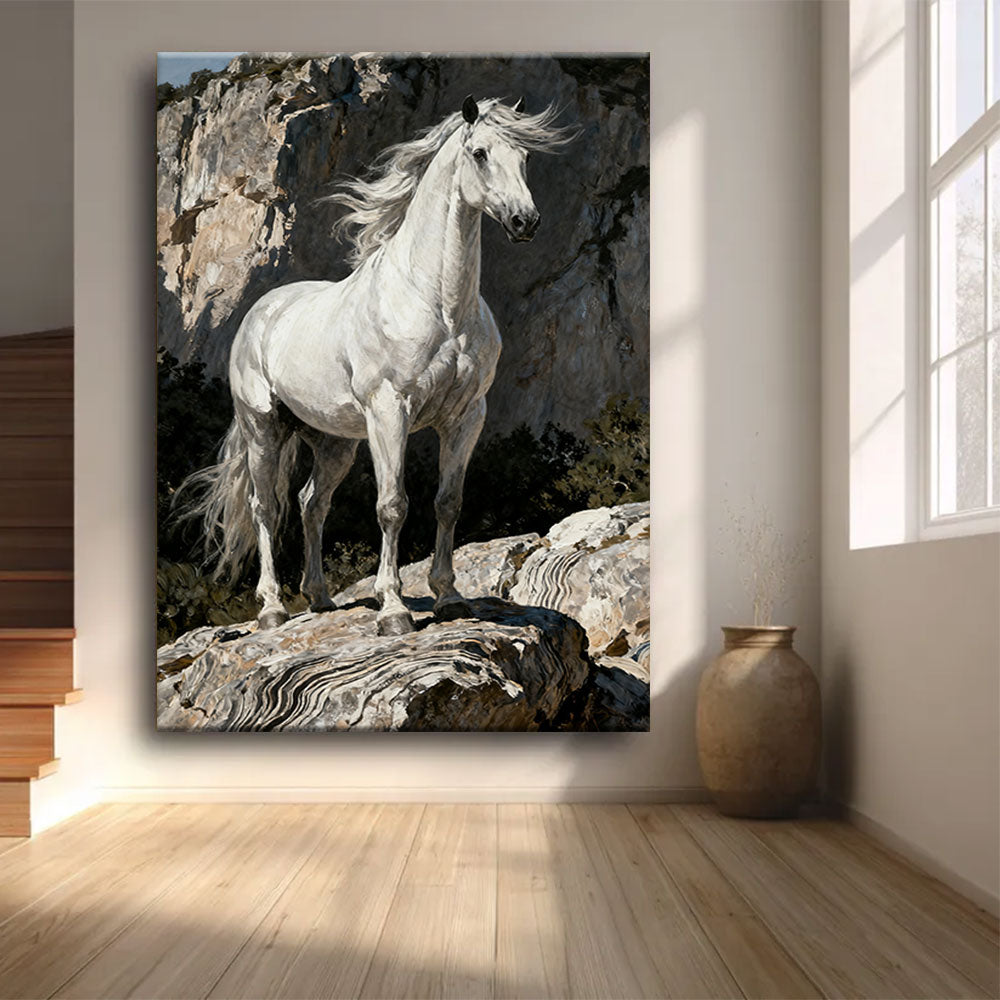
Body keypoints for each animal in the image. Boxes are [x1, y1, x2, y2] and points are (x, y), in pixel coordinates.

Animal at [179, 95, 573, 635]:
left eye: (525, 157)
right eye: (479, 153)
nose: (524, 222)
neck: (438, 304)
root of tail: (260, 312)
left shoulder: (466, 416)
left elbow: (448, 503)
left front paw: (449, 597)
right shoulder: (390, 410)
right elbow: (392, 506)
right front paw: (393, 609)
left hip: (334, 443)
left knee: (311, 504)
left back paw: (320, 597)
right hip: (264, 427)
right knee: (266, 508)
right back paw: (273, 608)